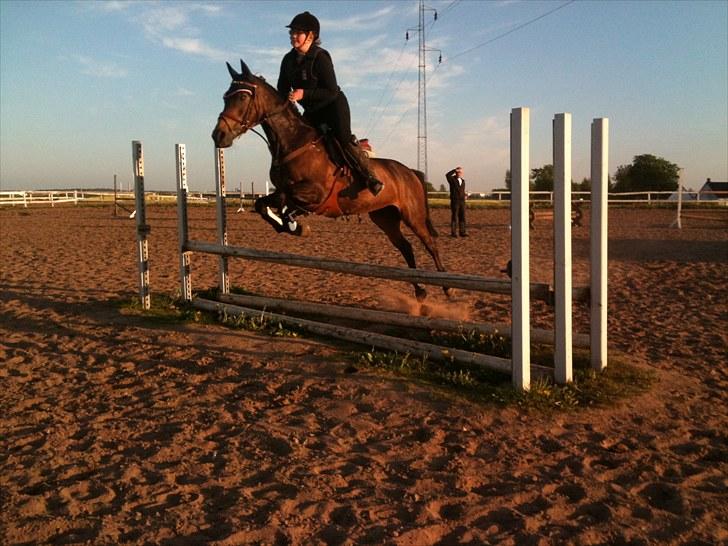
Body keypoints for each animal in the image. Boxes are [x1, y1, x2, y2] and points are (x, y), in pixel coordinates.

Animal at [210, 61, 446, 300]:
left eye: (242, 97)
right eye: (225, 97)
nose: (218, 136)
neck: (294, 143)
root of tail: (410, 171)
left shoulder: (316, 192)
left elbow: (287, 199)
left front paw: (294, 223)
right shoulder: (285, 190)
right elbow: (263, 203)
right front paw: (290, 225)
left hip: (412, 215)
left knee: (431, 244)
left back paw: (446, 286)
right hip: (385, 217)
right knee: (406, 247)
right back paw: (420, 290)